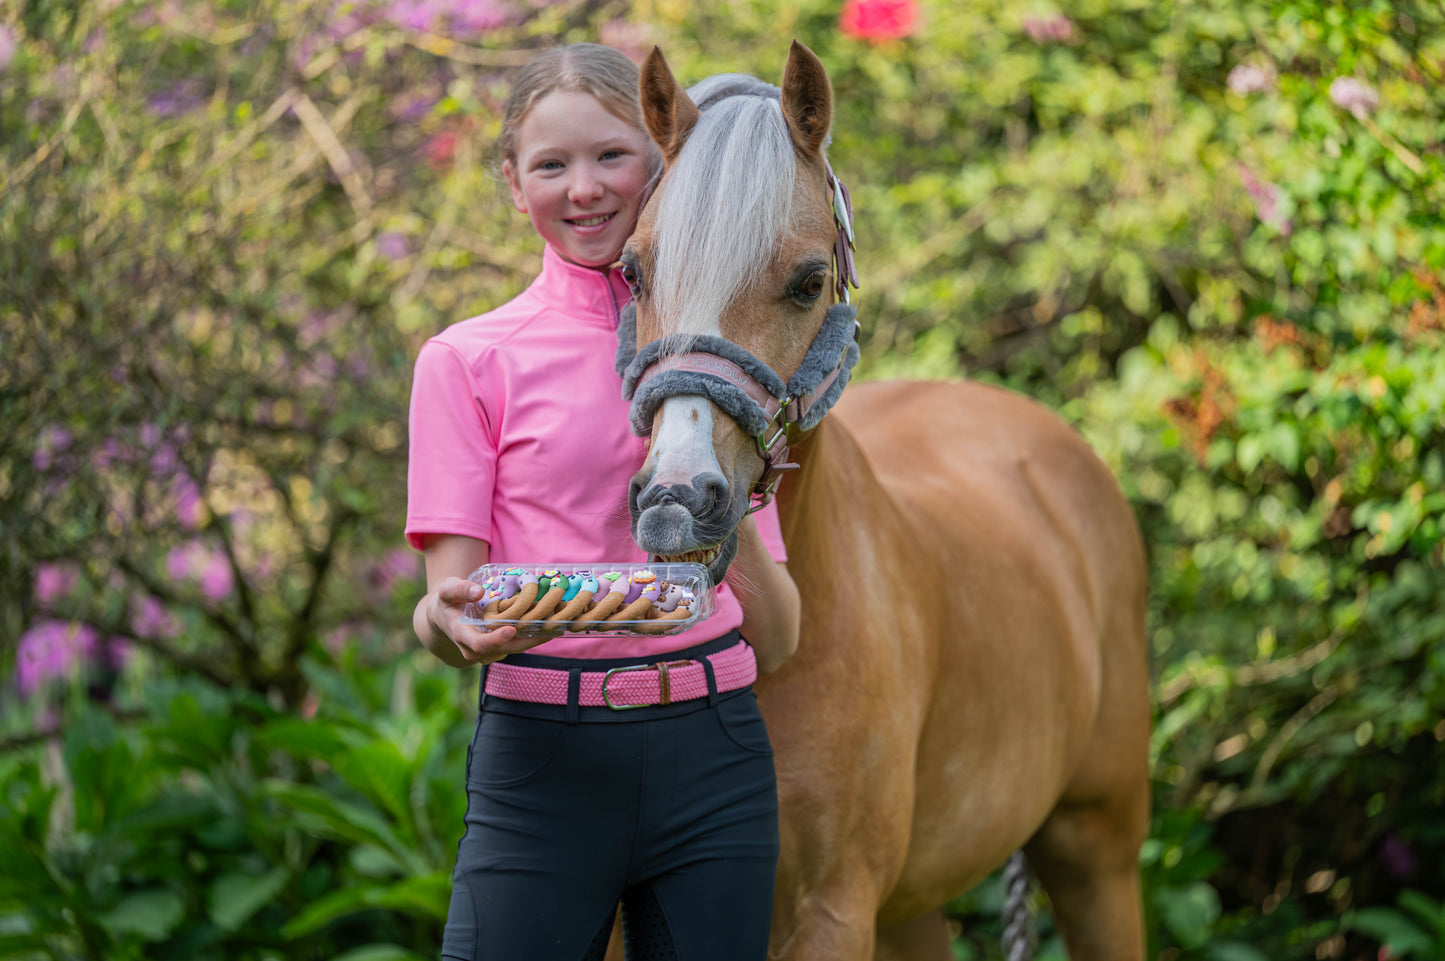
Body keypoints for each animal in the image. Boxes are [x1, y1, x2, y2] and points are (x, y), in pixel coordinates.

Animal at [615, 42, 1152, 961]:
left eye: (807, 281)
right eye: (635, 270)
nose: (678, 498)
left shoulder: (830, 910)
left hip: (1096, 858)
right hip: (913, 907)